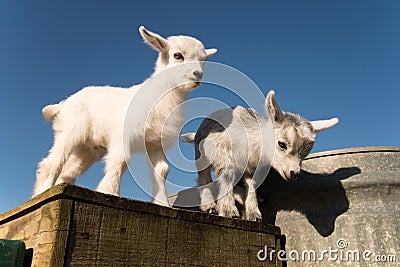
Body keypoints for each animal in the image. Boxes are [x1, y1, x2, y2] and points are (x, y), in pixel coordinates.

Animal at [33, 26, 217, 207]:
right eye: (177, 55)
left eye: (203, 60)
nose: (197, 74)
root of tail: (62, 104)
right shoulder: (122, 134)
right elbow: (121, 160)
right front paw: (110, 192)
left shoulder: (155, 143)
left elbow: (163, 170)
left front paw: (162, 203)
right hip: (70, 131)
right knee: (52, 162)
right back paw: (42, 192)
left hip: (87, 150)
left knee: (67, 172)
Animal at [183, 91, 340, 221]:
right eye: (282, 144)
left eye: (305, 152)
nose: (294, 173)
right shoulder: (221, 152)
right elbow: (227, 175)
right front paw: (228, 210)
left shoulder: (251, 167)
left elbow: (252, 184)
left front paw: (254, 214)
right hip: (201, 153)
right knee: (204, 176)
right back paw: (209, 205)